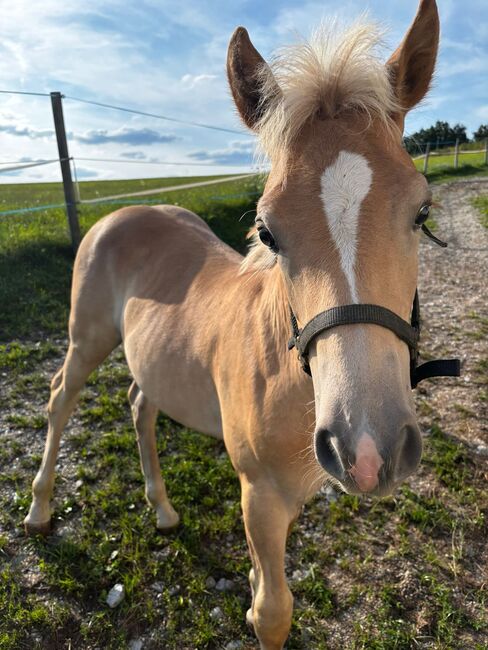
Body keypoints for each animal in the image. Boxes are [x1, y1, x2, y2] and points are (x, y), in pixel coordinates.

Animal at [25, 1, 442, 648]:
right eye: (266, 231)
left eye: (422, 212)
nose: (367, 449)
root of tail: (120, 212)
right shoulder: (260, 497)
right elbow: (273, 612)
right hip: (85, 340)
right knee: (58, 400)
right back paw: (40, 511)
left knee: (139, 403)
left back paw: (163, 511)